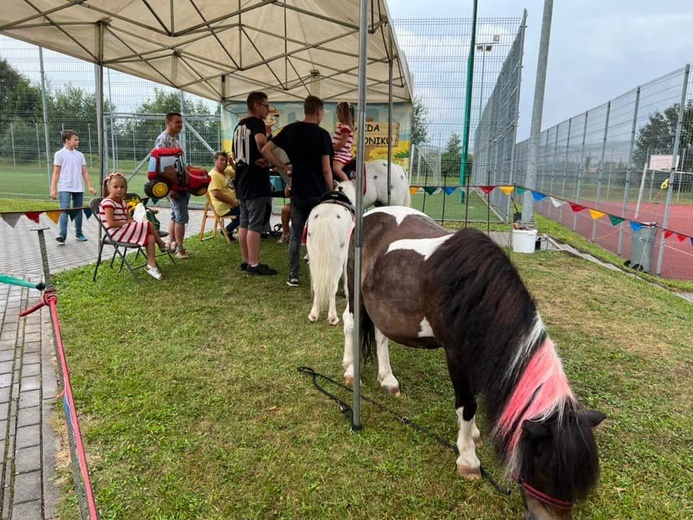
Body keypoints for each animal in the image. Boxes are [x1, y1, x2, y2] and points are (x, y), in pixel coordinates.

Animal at [344, 206, 604, 520]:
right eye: (543, 469)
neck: (476, 294)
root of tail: (370, 214)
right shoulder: (456, 355)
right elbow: (467, 405)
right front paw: (468, 458)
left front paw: (475, 435)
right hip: (353, 292)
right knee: (349, 323)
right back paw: (349, 371)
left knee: (381, 336)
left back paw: (388, 380)